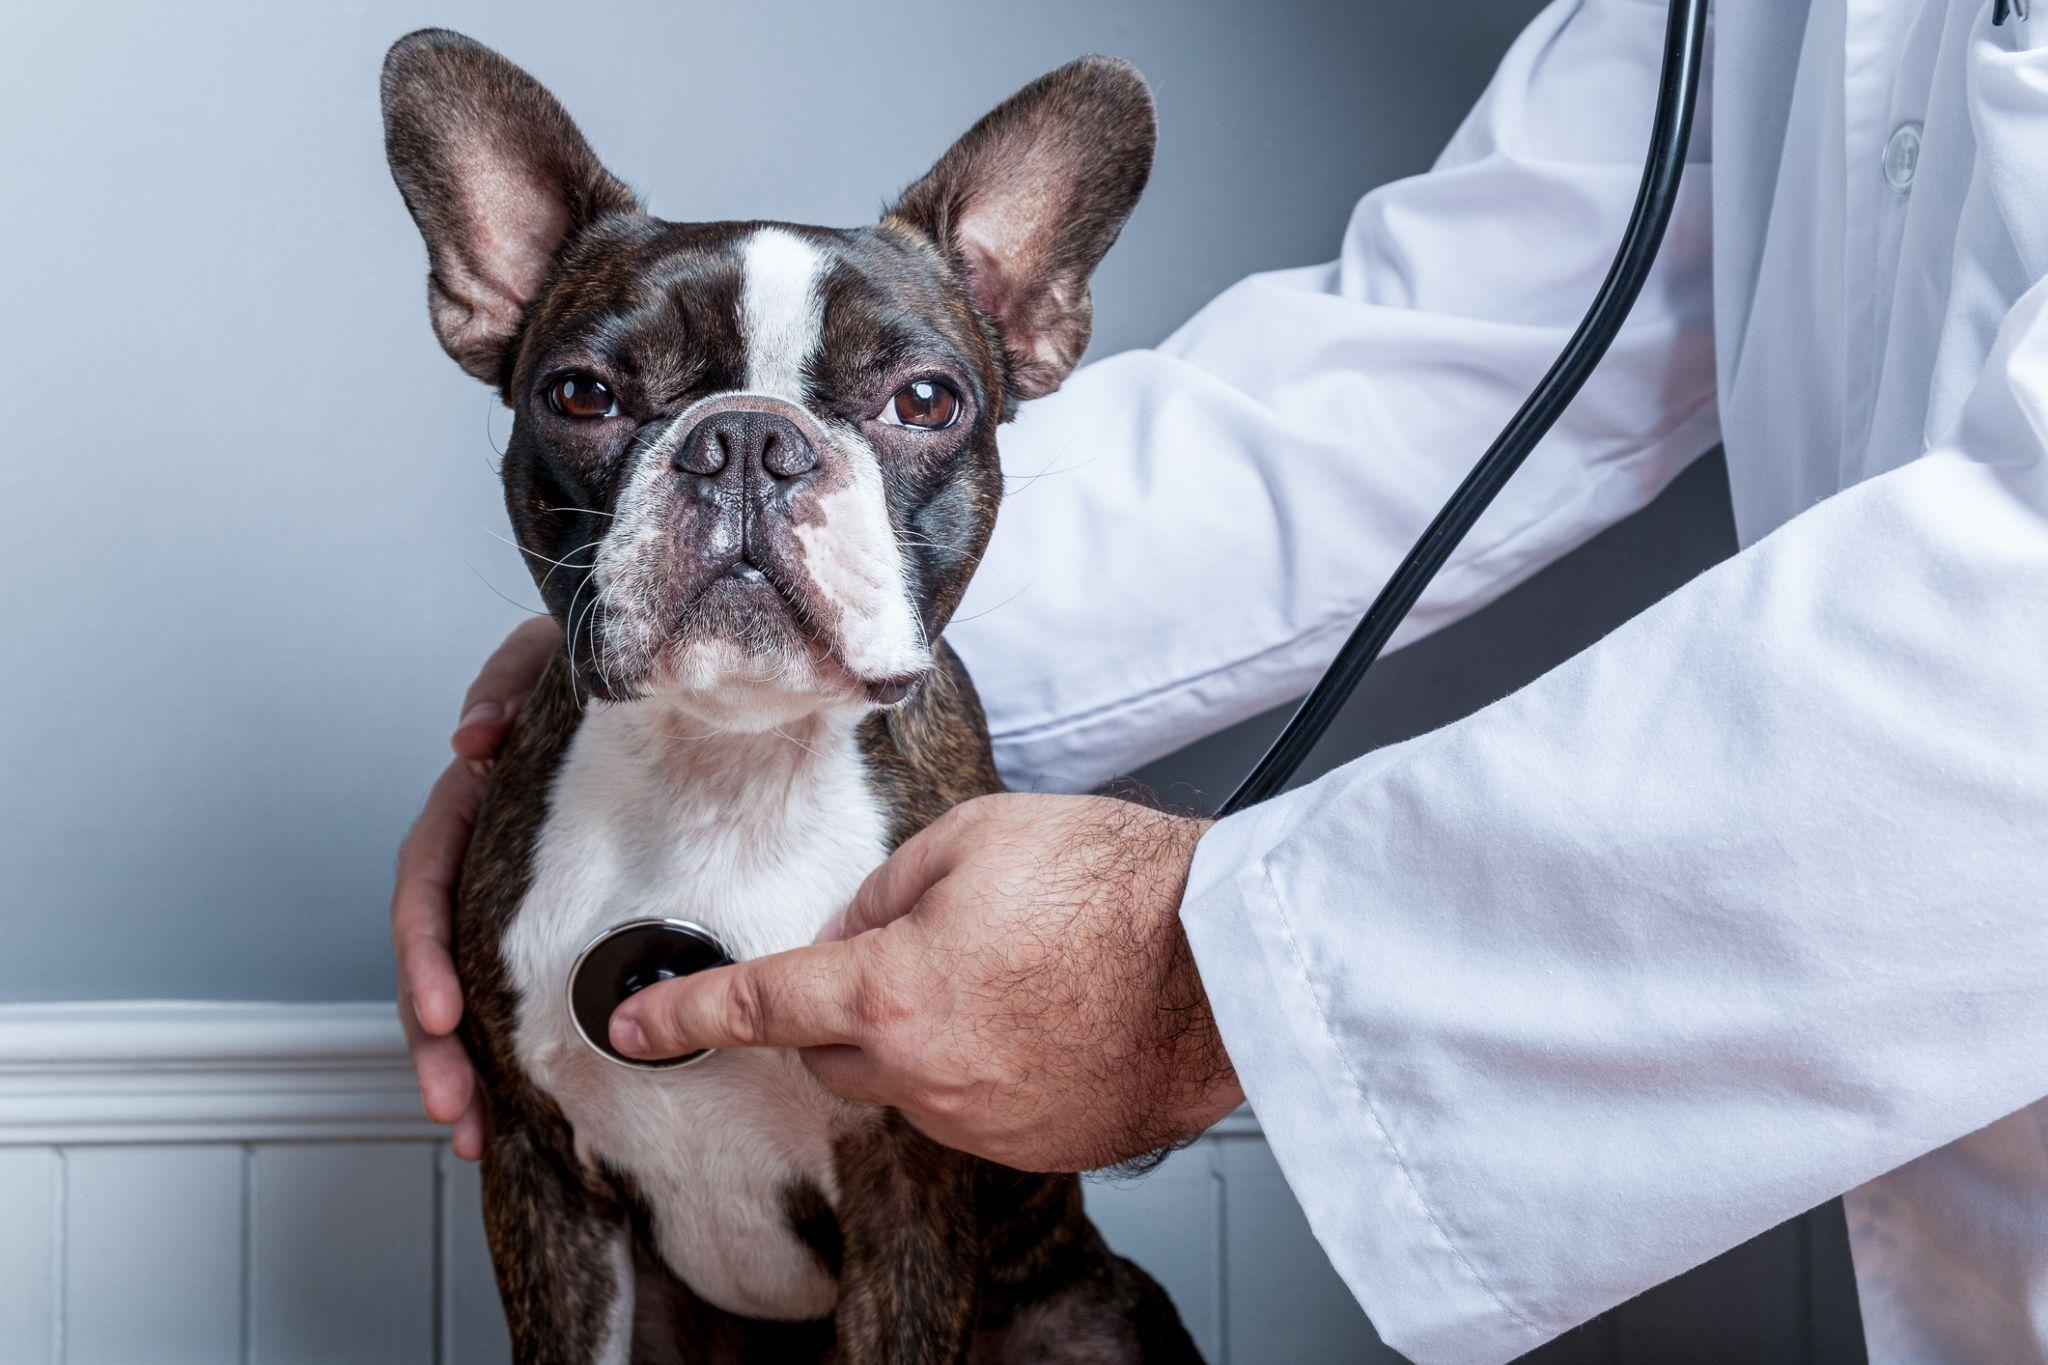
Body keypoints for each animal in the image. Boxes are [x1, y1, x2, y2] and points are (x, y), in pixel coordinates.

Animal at [380, 26, 1196, 1358]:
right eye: (581, 394)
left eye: (923, 399)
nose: (748, 440)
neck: (729, 765)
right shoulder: (540, 1182)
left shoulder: (909, 1192)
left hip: (1090, 1312)